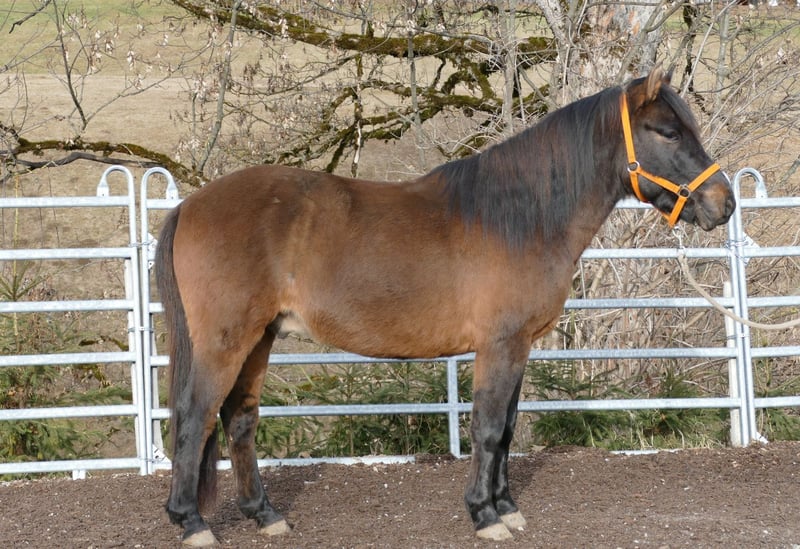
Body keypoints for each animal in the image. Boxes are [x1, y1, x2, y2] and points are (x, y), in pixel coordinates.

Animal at [155, 66, 735, 546]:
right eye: (668, 132)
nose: (724, 203)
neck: (522, 217)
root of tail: (191, 205)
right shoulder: (499, 344)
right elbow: (487, 426)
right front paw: (484, 515)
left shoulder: (518, 346)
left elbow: (507, 427)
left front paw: (507, 507)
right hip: (226, 339)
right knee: (195, 416)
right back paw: (192, 523)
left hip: (261, 336)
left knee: (239, 418)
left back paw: (265, 515)